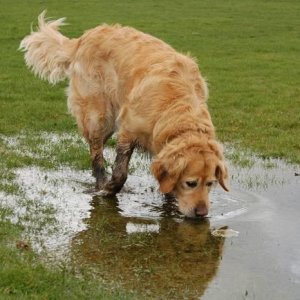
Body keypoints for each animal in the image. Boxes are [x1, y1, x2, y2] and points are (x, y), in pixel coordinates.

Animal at [19, 11, 229, 218]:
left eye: (210, 183)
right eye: (191, 183)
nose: (202, 214)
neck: (177, 107)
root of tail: (84, 37)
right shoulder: (129, 130)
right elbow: (121, 171)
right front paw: (109, 189)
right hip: (99, 114)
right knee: (96, 154)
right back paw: (100, 184)